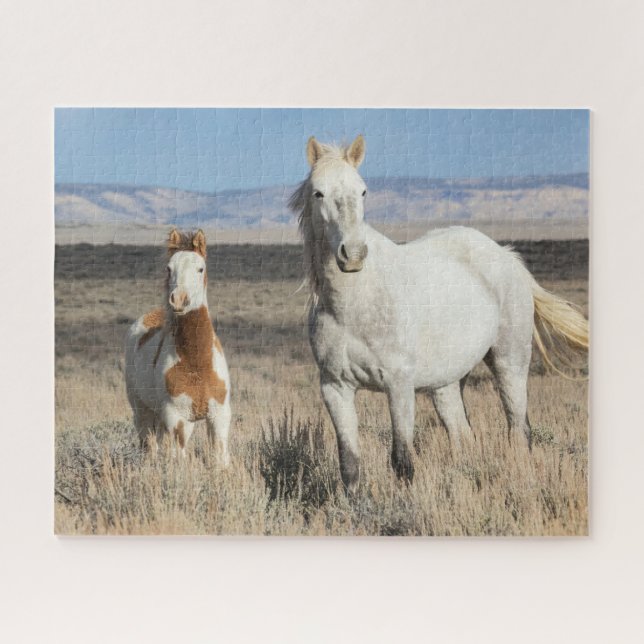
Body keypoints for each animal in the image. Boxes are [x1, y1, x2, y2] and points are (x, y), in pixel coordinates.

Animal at [124, 229, 232, 464]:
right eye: (169, 268)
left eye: (200, 268)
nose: (179, 300)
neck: (197, 363)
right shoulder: (178, 419)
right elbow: (179, 460)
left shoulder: (219, 417)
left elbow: (220, 459)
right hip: (143, 412)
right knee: (149, 446)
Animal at [289, 134, 588, 493]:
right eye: (318, 193)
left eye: (363, 191)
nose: (354, 255)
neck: (355, 304)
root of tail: (506, 256)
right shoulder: (335, 388)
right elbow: (349, 465)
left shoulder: (399, 385)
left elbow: (402, 461)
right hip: (447, 383)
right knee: (464, 437)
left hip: (510, 362)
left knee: (519, 431)